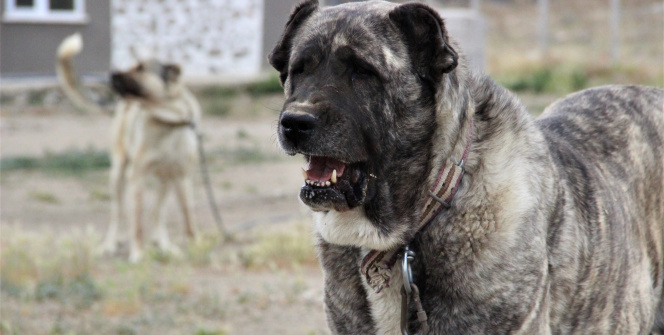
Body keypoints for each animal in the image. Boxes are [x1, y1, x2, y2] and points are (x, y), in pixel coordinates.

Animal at [56, 33, 202, 262]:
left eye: (141, 68)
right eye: (133, 65)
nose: (112, 73)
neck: (167, 120)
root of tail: (122, 104)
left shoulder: (183, 177)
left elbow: (188, 218)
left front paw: (196, 248)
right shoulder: (137, 177)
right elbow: (137, 223)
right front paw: (138, 254)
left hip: (165, 181)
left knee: (157, 214)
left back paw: (165, 245)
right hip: (118, 175)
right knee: (118, 215)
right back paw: (109, 245)